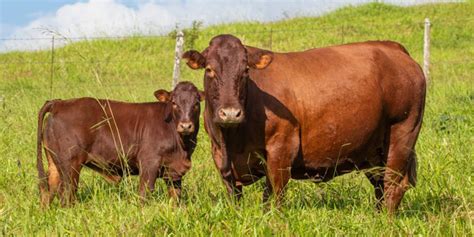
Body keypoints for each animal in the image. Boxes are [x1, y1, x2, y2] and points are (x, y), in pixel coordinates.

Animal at [35, 81, 202, 206]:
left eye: (197, 103)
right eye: (174, 102)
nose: (185, 125)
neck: (182, 148)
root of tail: (59, 103)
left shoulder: (173, 172)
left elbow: (175, 199)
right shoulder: (149, 164)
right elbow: (144, 195)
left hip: (55, 163)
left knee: (48, 193)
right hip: (70, 165)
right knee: (66, 197)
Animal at [182, 34, 426, 213]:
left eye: (246, 70)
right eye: (209, 69)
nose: (231, 113)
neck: (232, 140)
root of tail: (393, 48)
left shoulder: (281, 148)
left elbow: (274, 195)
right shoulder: (220, 156)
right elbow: (235, 195)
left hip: (402, 133)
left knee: (393, 184)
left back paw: (385, 219)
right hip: (373, 149)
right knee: (380, 185)